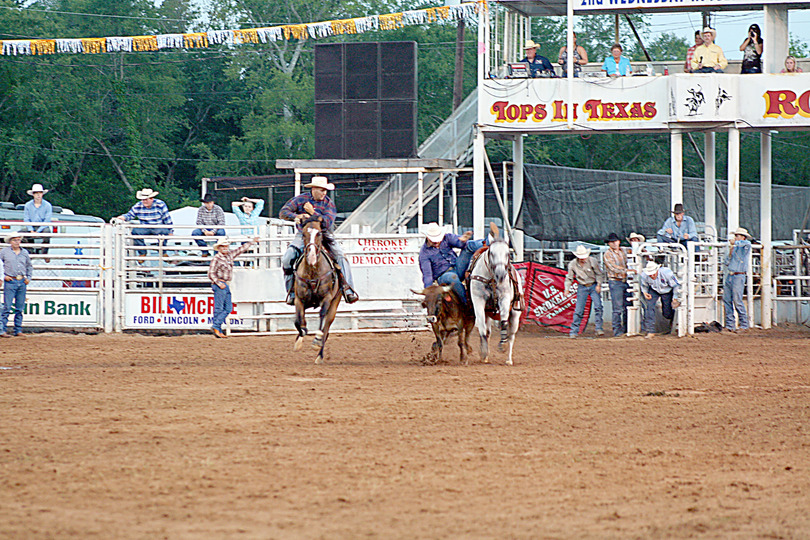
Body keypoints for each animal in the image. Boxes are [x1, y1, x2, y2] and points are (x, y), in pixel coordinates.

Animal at [292, 217, 340, 364]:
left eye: (319, 233)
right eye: (303, 234)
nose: (311, 257)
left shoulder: (327, 298)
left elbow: (322, 316)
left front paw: (316, 340)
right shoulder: (299, 299)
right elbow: (298, 321)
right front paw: (299, 339)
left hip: (334, 304)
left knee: (326, 328)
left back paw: (320, 355)